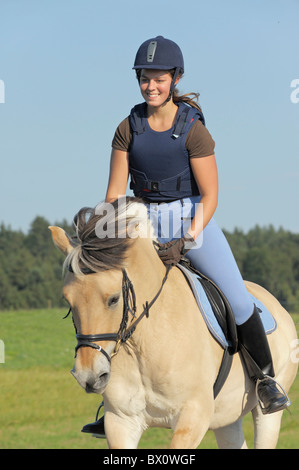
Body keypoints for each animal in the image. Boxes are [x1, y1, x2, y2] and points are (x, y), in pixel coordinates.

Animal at [49, 196, 298, 450]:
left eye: (114, 299)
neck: (143, 343)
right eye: (67, 301)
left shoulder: (193, 416)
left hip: (267, 412)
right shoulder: (121, 421)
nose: (87, 376)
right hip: (226, 417)